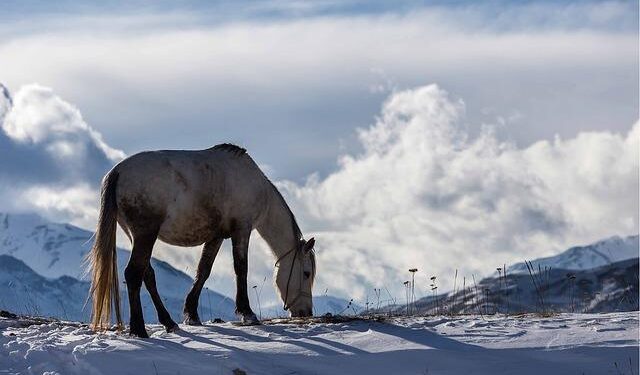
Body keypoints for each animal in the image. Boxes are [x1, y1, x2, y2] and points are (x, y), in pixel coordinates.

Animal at [86, 143, 316, 338]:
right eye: (306, 273)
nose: (306, 312)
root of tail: (117, 172)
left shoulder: (217, 236)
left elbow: (204, 270)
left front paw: (192, 314)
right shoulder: (242, 229)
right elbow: (241, 268)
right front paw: (247, 313)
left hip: (136, 236)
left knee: (147, 274)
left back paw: (169, 322)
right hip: (145, 234)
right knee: (134, 274)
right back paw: (139, 329)